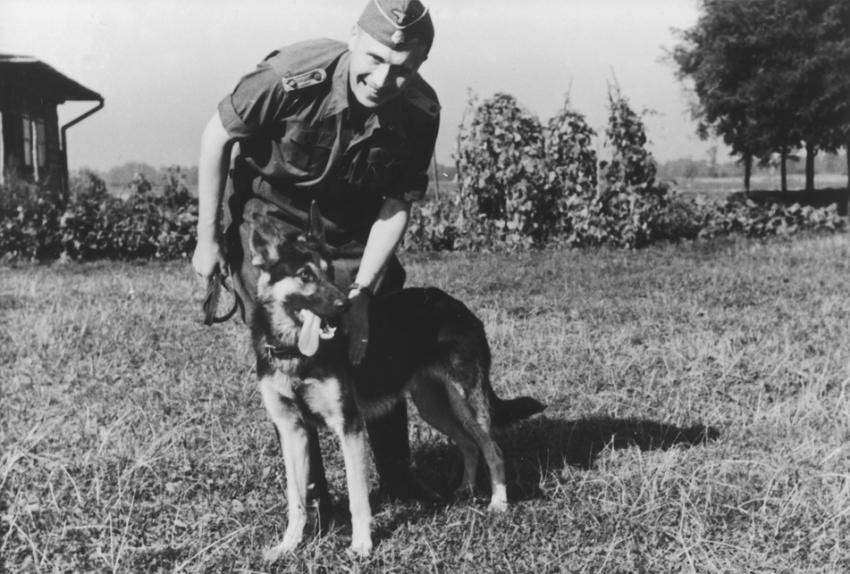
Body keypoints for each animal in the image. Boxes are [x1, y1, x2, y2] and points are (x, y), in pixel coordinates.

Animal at [252, 205, 544, 560]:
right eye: (305, 276)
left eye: (330, 272)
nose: (343, 308)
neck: (294, 352)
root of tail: (459, 307)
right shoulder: (291, 430)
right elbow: (296, 499)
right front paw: (289, 544)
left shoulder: (349, 426)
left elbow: (358, 496)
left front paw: (362, 544)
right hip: (435, 407)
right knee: (469, 445)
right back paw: (465, 490)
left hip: (466, 405)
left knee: (493, 449)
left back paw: (498, 502)